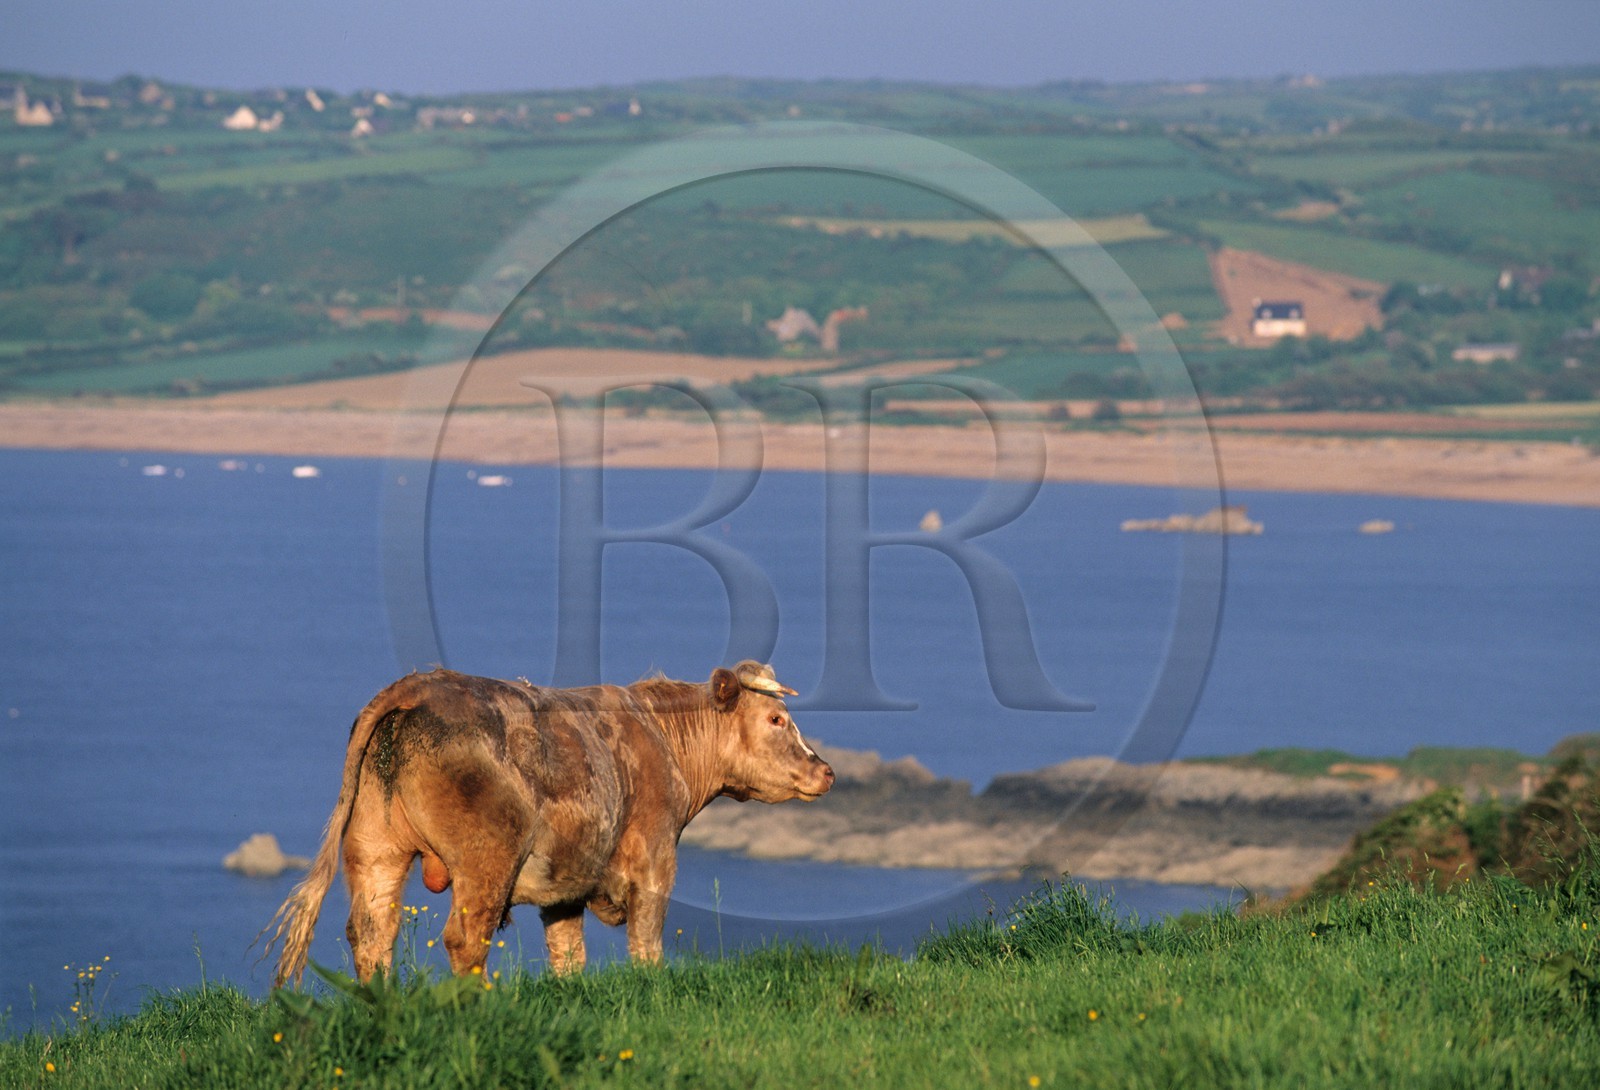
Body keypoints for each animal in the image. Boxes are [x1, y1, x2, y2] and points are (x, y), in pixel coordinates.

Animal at [262, 661, 833, 986]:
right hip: (486, 859)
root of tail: (416, 686)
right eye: (776, 719)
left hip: (376, 847)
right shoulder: (654, 858)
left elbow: (568, 955)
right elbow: (647, 943)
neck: (660, 736)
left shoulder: (566, 886)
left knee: (371, 932)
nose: (826, 770)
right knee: (464, 939)